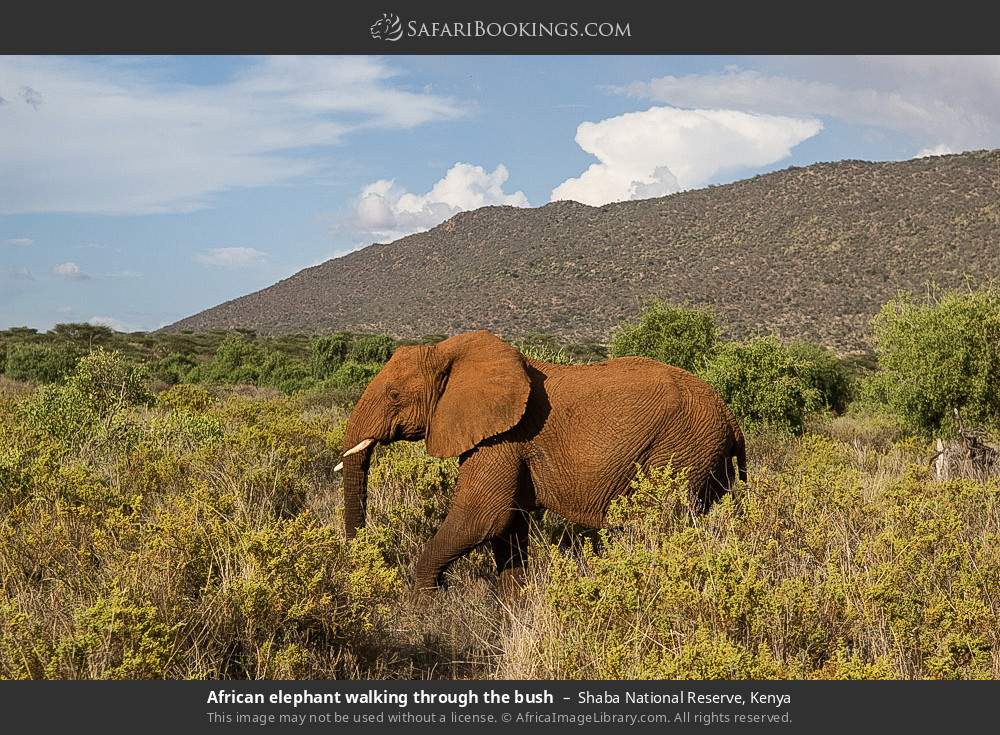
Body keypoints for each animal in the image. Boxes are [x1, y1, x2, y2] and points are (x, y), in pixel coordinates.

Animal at [336, 331, 746, 592]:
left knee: (657, 524)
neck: (448, 351)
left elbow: (481, 518)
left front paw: (429, 604)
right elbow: (507, 531)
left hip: (682, 447)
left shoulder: (504, 437)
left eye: (393, 395)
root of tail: (730, 416)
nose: (364, 563)